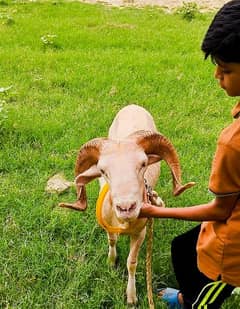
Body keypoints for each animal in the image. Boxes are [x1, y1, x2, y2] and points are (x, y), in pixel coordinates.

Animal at [59, 104, 194, 306]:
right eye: (102, 170)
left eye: (143, 163)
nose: (126, 207)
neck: (123, 223)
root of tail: (133, 105)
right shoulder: (108, 226)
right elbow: (112, 241)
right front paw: (111, 262)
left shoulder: (141, 233)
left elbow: (132, 262)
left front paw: (131, 297)